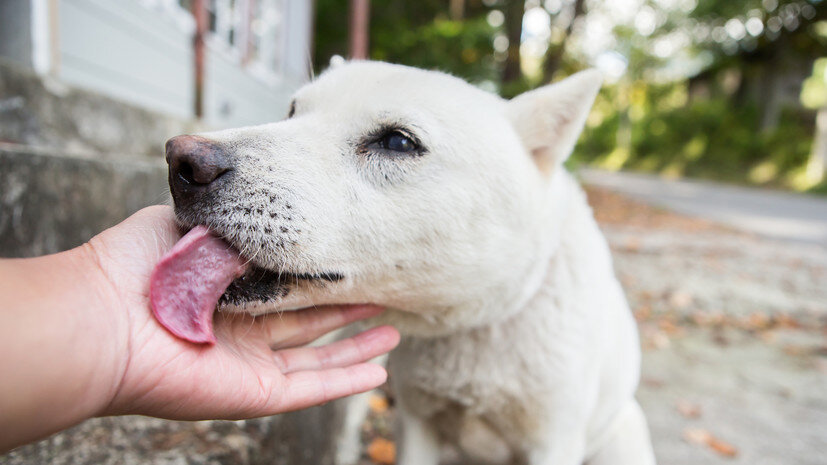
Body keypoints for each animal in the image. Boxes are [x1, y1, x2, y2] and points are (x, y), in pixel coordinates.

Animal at [160, 61, 652, 464]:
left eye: (398, 141)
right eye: (293, 111)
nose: (181, 162)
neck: (478, 324)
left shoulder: (553, 441)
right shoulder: (416, 425)